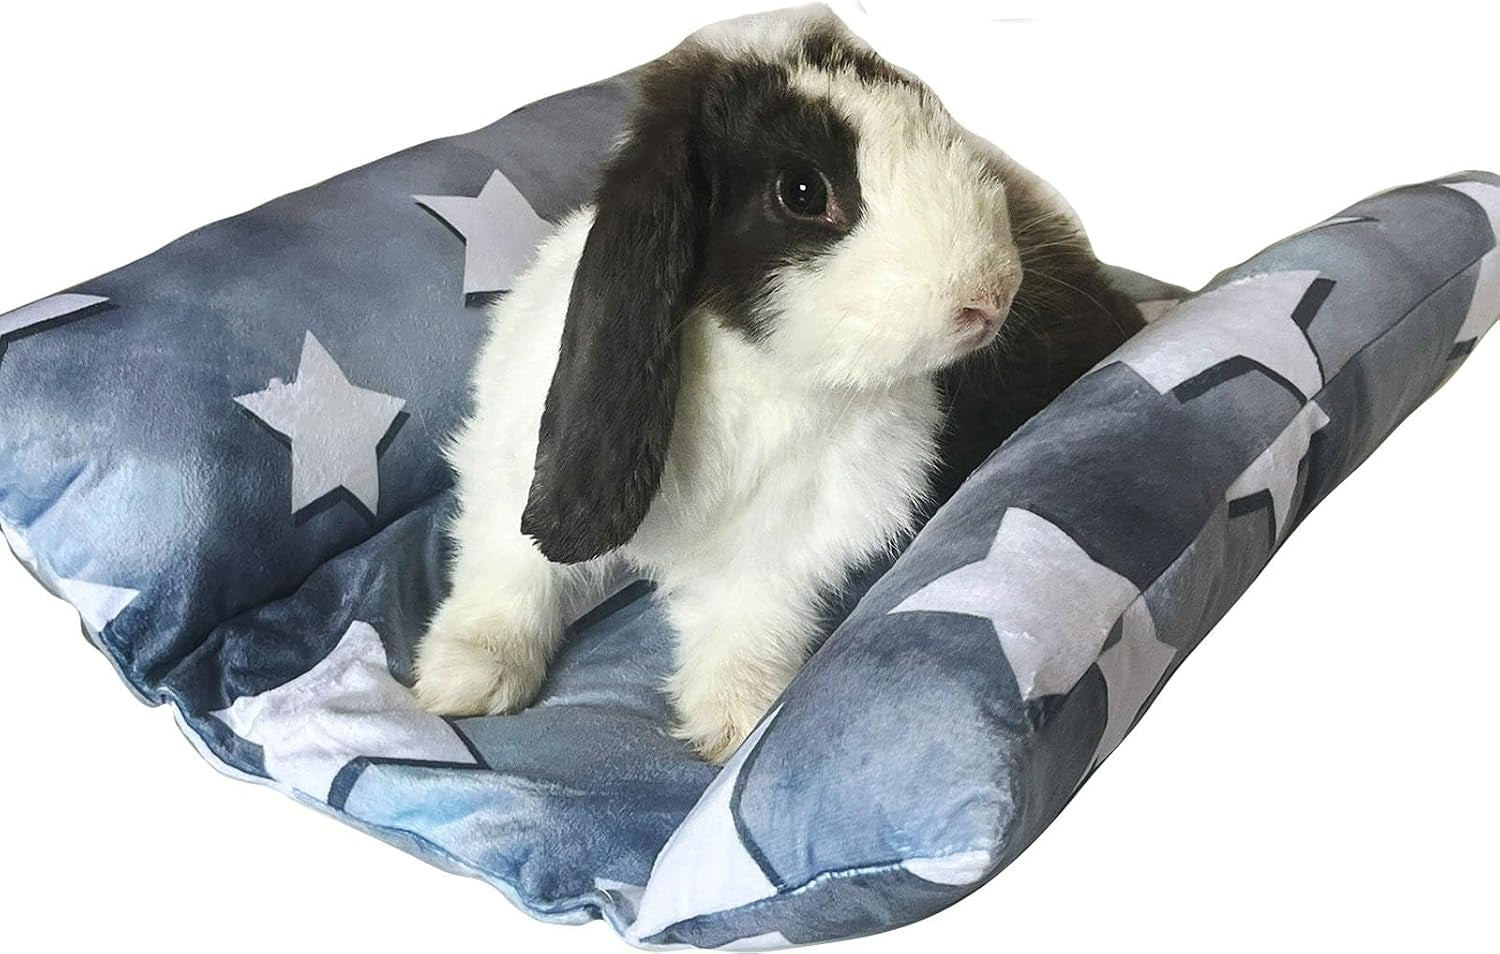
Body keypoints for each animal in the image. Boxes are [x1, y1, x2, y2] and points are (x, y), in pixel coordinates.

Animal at [413, 6, 1143, 763]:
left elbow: (747, 623)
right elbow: (511, 569)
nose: (990, 297)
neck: (758, 370)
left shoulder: (786, 543)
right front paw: (464, 680)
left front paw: (734, 728)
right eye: (802, 191)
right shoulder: (509, 479)